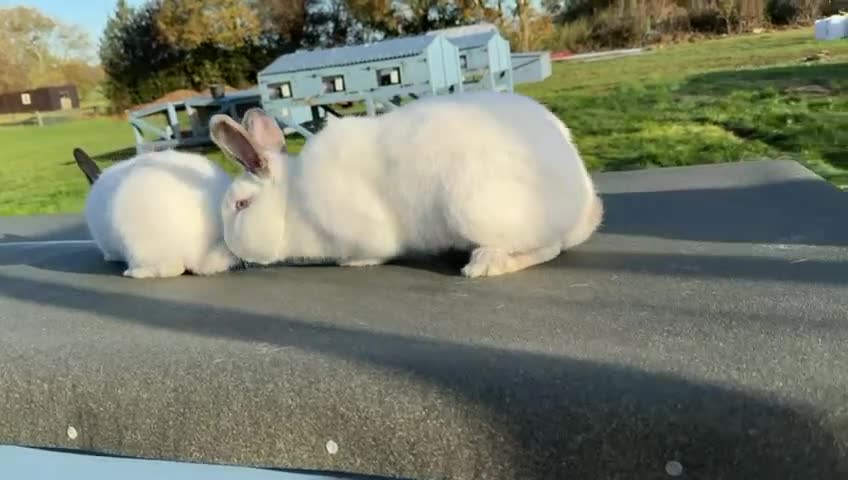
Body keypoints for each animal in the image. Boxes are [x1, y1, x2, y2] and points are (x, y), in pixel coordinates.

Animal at [208, 90, 603, 278]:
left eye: (241, 205)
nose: (229, 247)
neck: (292, 204)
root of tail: (584, 201)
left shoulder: (366, 232)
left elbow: (375, 251)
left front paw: (354, 264)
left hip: (476, 208)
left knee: (547, 248)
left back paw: (484, 264)